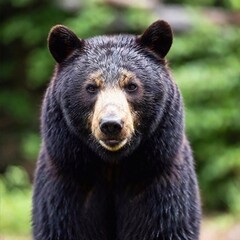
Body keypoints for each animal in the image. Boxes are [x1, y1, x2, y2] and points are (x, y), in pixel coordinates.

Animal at [31, 19, 201, 239]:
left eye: (131, 85)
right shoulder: (67, 181)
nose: (111, 124)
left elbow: (168, 224)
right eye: (91, 87)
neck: (112, 167)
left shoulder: (159, 179)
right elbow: (61, 224)